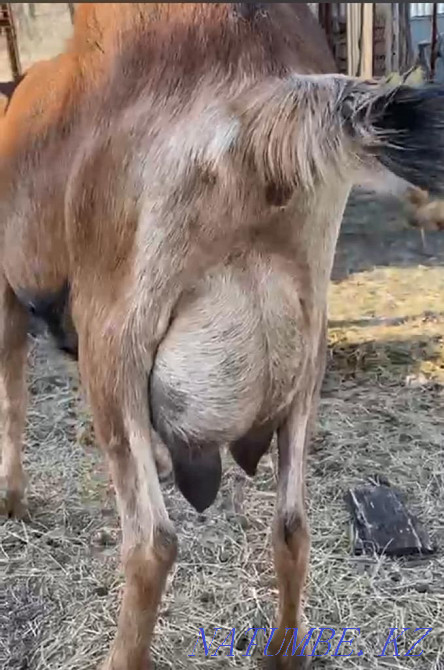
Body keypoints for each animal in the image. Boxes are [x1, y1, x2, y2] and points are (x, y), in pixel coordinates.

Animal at [2, 4, 444, 669]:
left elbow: (12, 398)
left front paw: (11, 499)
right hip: (308, 346)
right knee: (292, 524)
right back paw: (283, 650)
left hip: (115, 339)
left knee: (152, 542)